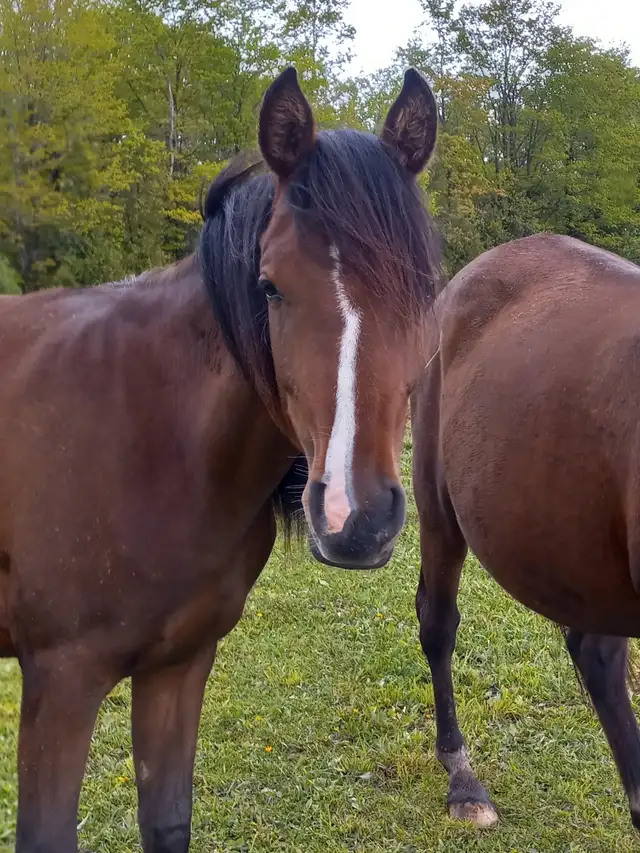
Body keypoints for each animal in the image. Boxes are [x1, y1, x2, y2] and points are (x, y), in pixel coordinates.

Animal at [0, 66, 441, 851]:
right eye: (270, 285)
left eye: (424, 287)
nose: (354, 517)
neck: (153, 435)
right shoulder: (61, 679)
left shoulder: (179, 665)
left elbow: (167, 820)